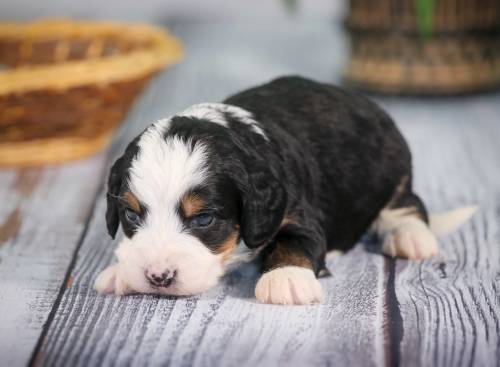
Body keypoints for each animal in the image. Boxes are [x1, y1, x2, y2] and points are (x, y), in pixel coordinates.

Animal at [94, 76, 476, 306]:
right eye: (131, 214)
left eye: (203, 219)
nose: (157, 277)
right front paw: (119, 272)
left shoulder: (297, 213)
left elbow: (293, 244)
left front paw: (286, 279)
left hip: (391, 168)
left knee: (407, 203)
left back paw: (410, 236)